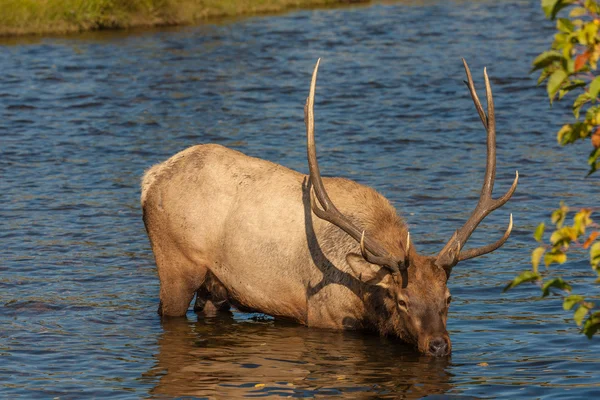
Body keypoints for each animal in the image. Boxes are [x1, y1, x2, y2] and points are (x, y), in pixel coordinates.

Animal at [141, 59, 516, 356]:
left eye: (448, 298)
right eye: (403, 300)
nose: (439, 345)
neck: (366, 296)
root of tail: (149, 179)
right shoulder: (323, 317)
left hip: (215, 286)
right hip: (175, 266)